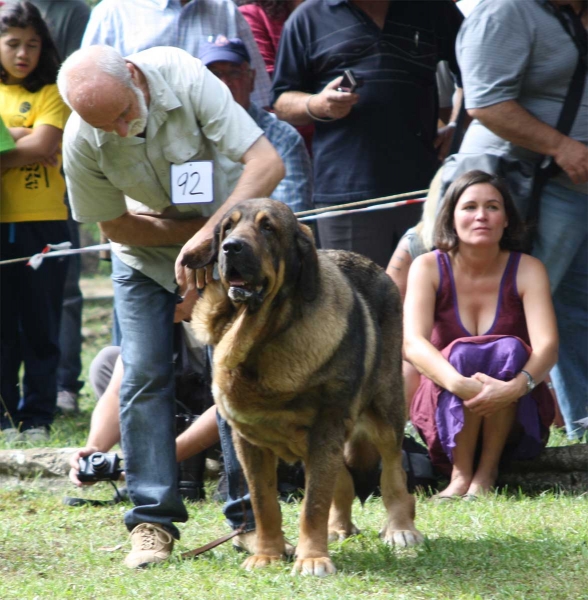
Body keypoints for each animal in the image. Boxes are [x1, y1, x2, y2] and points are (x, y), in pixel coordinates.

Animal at [184, 199, 422, 576]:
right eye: (227, 228)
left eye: (268, 228)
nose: (231, 247)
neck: (260, 336)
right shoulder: (248, 441)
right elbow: (265, 503)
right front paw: (267, 554)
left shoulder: (325, 427)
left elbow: (313, 504)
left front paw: (312, 559)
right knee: (343, 481)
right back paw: (338, 528)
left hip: (385, 410)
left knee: (393, 473)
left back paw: (401, 530)